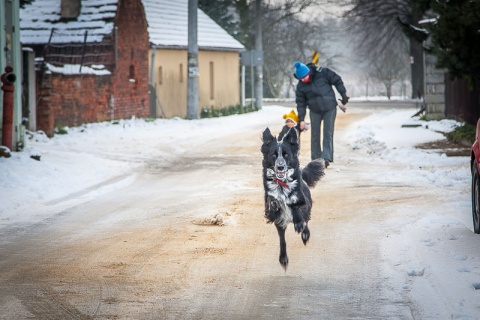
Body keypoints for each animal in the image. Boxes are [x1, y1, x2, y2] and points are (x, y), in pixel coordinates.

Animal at [260, 126, 324, 266]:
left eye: (286, 155)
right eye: (273, 155)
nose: (280, 167)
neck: (282, 184)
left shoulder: (303, 202)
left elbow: (296, 207)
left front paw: (299, 224)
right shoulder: (274, 216)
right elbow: (273, 201)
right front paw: (275, 202)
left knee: (306, 222)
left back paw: (305, 234)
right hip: (280, 224)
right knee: (282, 240)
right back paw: (283, 258)